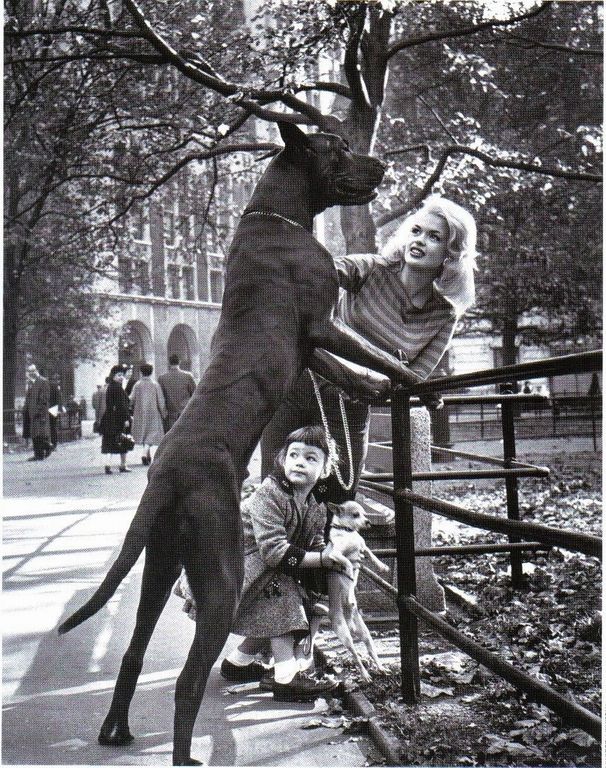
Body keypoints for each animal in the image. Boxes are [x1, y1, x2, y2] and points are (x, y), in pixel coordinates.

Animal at [326, 500, 392, 680]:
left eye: (364, 513)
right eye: (355, 515)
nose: (368, 522)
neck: (348, 533)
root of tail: (350, 624)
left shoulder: (363, 548)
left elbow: (371, 554)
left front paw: (382, 566)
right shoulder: (334, 554)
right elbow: (347, 562)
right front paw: (349, 572)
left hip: (366, 635)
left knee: (371, 652)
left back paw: (381, 668)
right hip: (345, 636)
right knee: (355, 655)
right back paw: (365, 674)